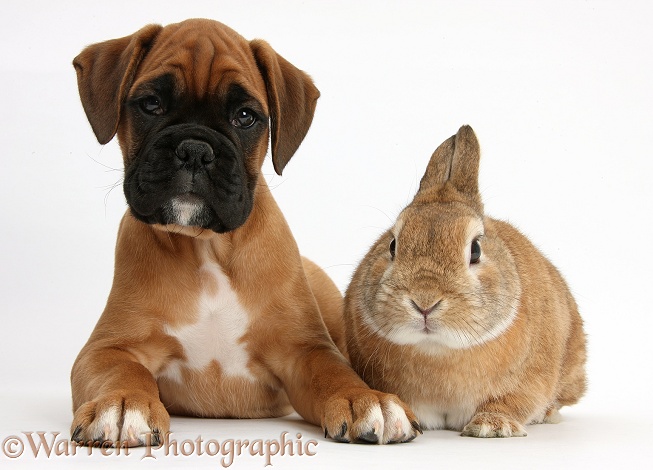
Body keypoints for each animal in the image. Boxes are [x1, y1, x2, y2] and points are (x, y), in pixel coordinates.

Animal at [70, 19, 418, 448]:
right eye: (151, 104)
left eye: (246, 116)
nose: (195, 149)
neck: (207, 248)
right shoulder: (108, 348)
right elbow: (122, 371)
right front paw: (121, 403)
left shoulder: (305, 351)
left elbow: (335, 373)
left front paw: (365, 399)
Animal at [344, 125, 588, 436]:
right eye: (392, 245)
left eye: (475, 250)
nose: (424, 302)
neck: (437, 350)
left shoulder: (529, 384)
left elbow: (510, 403)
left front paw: (491, 427)